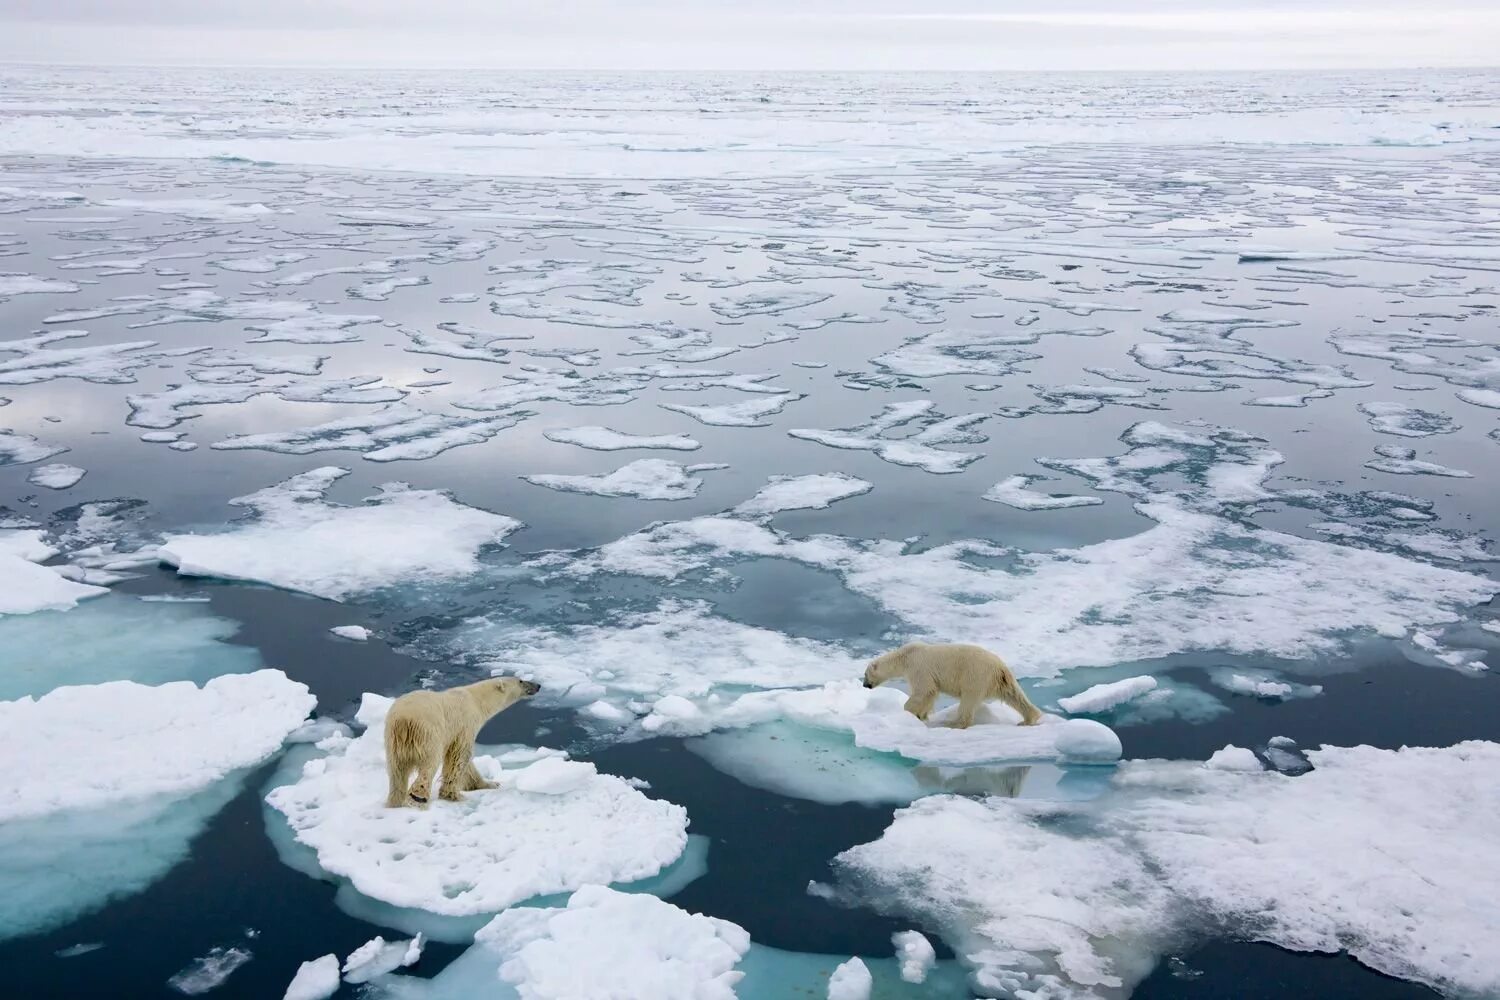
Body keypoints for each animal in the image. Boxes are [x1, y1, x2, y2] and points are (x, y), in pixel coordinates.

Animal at [387, 677, 540, 809]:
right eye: (520, 680)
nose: (538, 686)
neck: (476, 700)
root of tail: (404, 720)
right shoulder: (465, 725)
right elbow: (460, 757)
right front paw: (453, 795)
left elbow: (466, 764)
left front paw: (490, 784)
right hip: (428, 733)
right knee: (429, 763)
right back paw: (418, 797)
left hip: (393, 741)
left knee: (397, 771)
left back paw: (395, 801)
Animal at [864, 644, 1038, 731]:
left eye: (865, 675)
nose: (865, 685)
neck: (905, 656)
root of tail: (1000, 666)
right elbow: (930, 693)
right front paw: (922, 715)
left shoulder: (918, 667)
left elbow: (923, 690)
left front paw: (909, 712)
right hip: (1001, 680)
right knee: (1014, 696)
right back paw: (1029, 719)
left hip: (975, 676)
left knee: (968, 700)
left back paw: (954, 724)